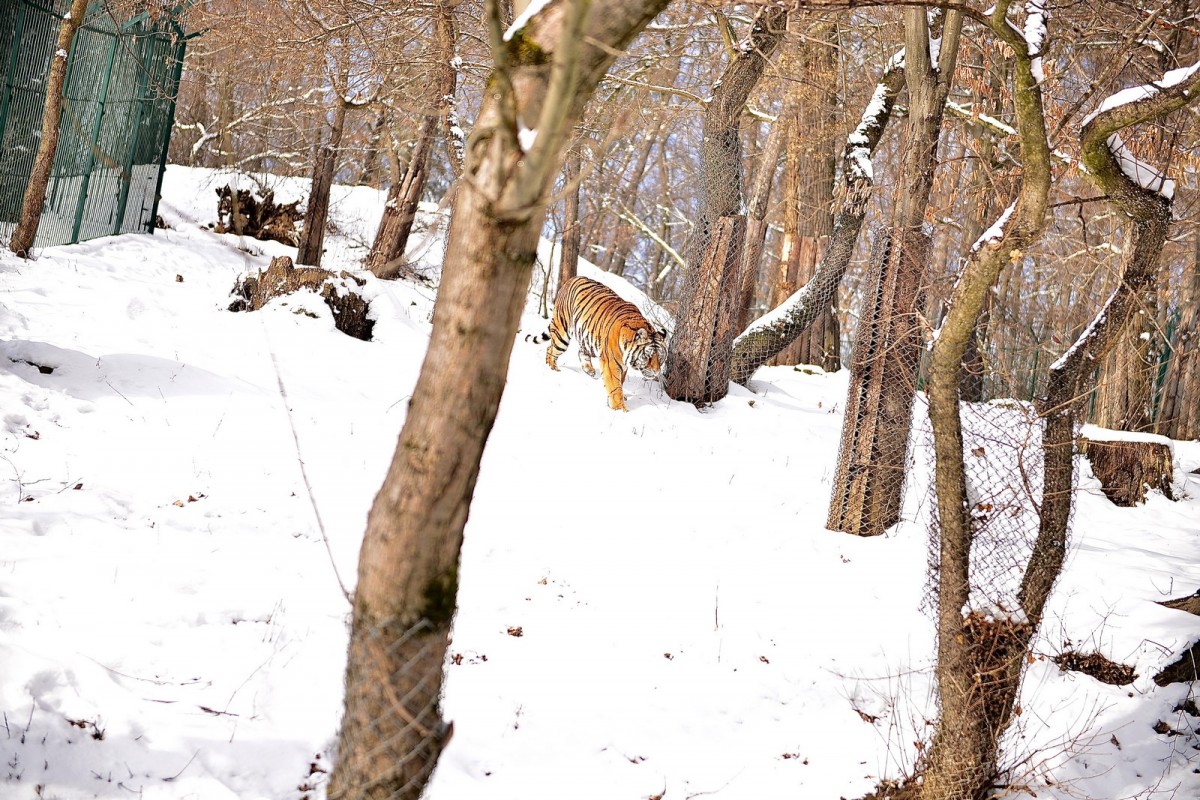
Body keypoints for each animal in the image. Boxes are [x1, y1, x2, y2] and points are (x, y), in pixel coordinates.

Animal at [530, 277, 672, 412]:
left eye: (660, 358)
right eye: (647, 356)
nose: (656, 372)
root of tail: (571, 279)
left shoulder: (622, 365)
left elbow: (620, 382)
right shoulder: (611, 363)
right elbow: (615, 386)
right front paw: (620, 409)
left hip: (588, 339)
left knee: (580, 351)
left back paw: (589, 370)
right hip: (562, 333)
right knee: (551, 348)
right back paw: (553, 368)